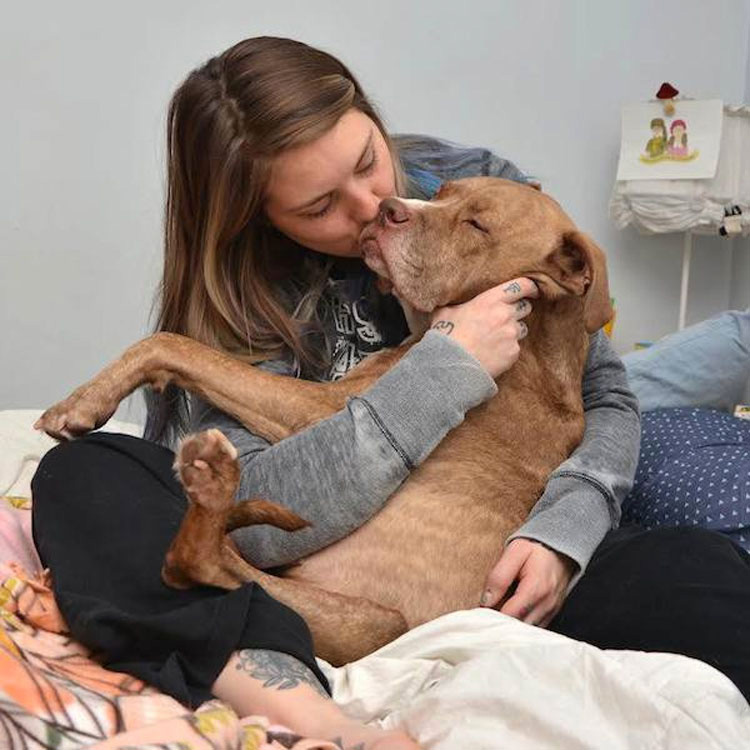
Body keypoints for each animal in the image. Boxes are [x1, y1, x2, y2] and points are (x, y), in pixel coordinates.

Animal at [35, 179, 612, 668]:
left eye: (477, 225)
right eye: (442, 193)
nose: (388, 208)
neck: (534, 352)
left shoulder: (327, 410)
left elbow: (175, 344)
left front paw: (80, 404)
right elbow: (176, 348)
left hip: (377, 622)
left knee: (197, 562)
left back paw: (213, 489)